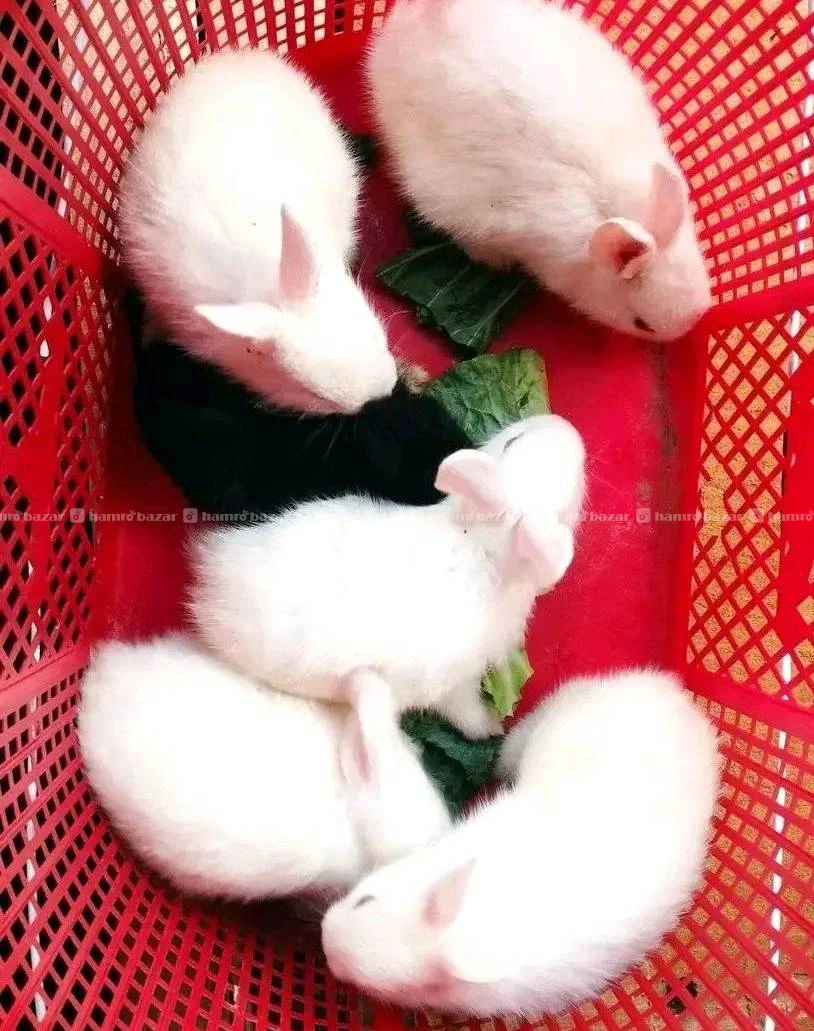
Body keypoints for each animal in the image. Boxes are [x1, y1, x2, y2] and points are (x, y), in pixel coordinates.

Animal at [188, 414, 586, 740]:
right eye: (512, 442)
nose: (568, 427)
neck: (479, 548)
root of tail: (209, 588)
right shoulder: (455, 685)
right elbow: (465, 714)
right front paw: (493, 728)